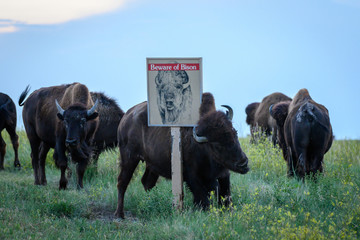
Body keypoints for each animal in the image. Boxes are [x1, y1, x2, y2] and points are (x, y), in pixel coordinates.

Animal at [115, 92, 250, 219]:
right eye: (216, 145)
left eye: (234, 133)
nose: (243, 163)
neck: (202, 145)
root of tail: (125, 117)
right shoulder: (193, 178)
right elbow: (203, 198)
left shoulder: (223, 175)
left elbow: (225, 196)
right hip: (129, 158)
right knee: (122, 182)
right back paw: (120, 214)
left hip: (151, 165)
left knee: (147, 182)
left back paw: (150, 202)